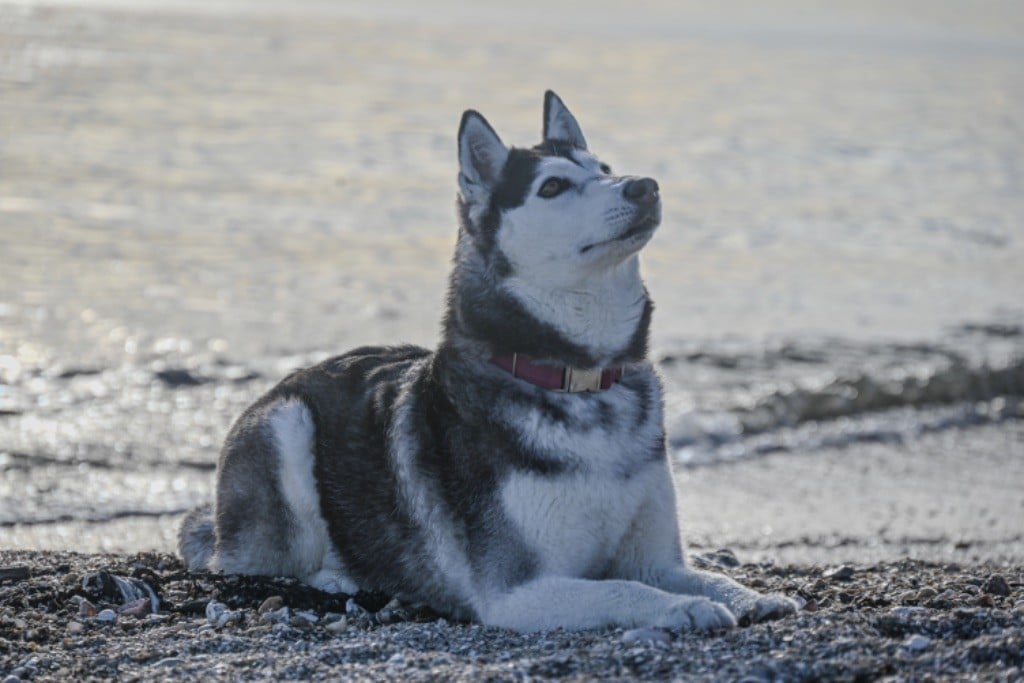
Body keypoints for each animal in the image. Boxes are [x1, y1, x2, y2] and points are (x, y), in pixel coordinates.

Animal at [178, 92, 798, 634]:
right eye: (553, 186)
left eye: (603, 167)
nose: (644, 186)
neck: (580, 380)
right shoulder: (517, 591)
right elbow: (624, 589)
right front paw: (681, 609)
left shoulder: (655, 558)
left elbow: (694, 574)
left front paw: (748, 595)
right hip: (286, 429)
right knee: (258, 561)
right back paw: (339, 575)